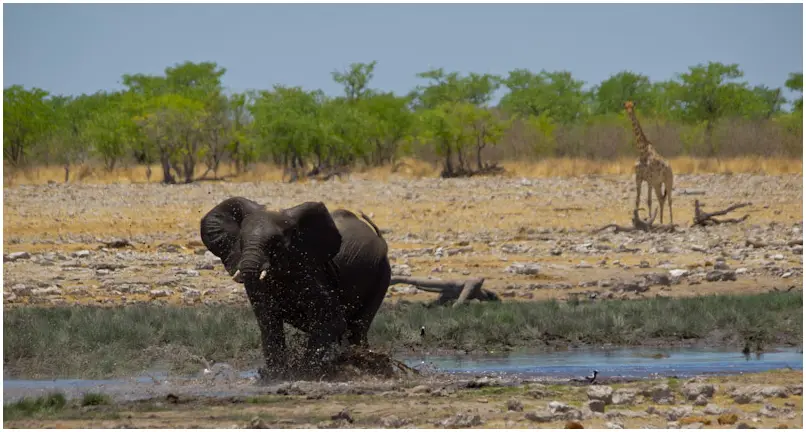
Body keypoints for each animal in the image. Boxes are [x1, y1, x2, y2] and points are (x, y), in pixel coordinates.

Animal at [199, 197, 391, 378]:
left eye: (275, 243)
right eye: (240, 241)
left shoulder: (311, 270)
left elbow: (332, 319)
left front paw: (306, 373)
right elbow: (268, 321)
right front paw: (276, 376)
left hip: (382, 275)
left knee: (357, 329)